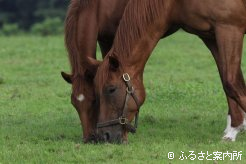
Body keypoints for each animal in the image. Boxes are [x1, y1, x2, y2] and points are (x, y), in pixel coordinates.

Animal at [90, 0, 246, 144]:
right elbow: (228, 80)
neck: (175, 3)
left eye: (111, 89)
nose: (104, 136)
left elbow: (231, 83)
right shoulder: (210, 36)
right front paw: (234, 128)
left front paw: (234, 129)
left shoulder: (229, 29)